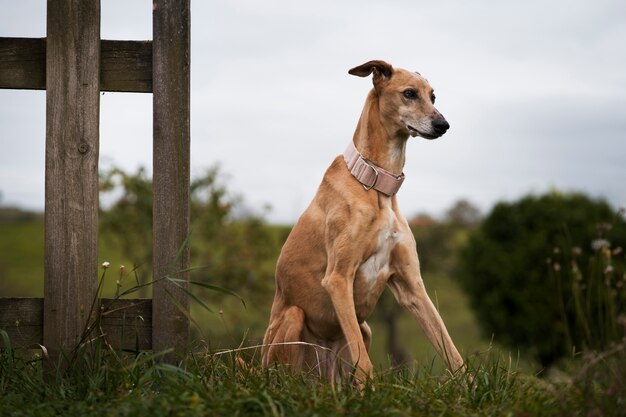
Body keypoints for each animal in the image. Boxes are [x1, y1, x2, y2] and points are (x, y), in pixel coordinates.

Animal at [260, 60, 464, 382]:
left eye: (433, 96)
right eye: (409, 93)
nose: (443, 125)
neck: (376, 184)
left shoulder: (411, 285)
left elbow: (451, 350)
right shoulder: (338, 278)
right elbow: (365, 364)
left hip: (364, 330)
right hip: (292, 321)